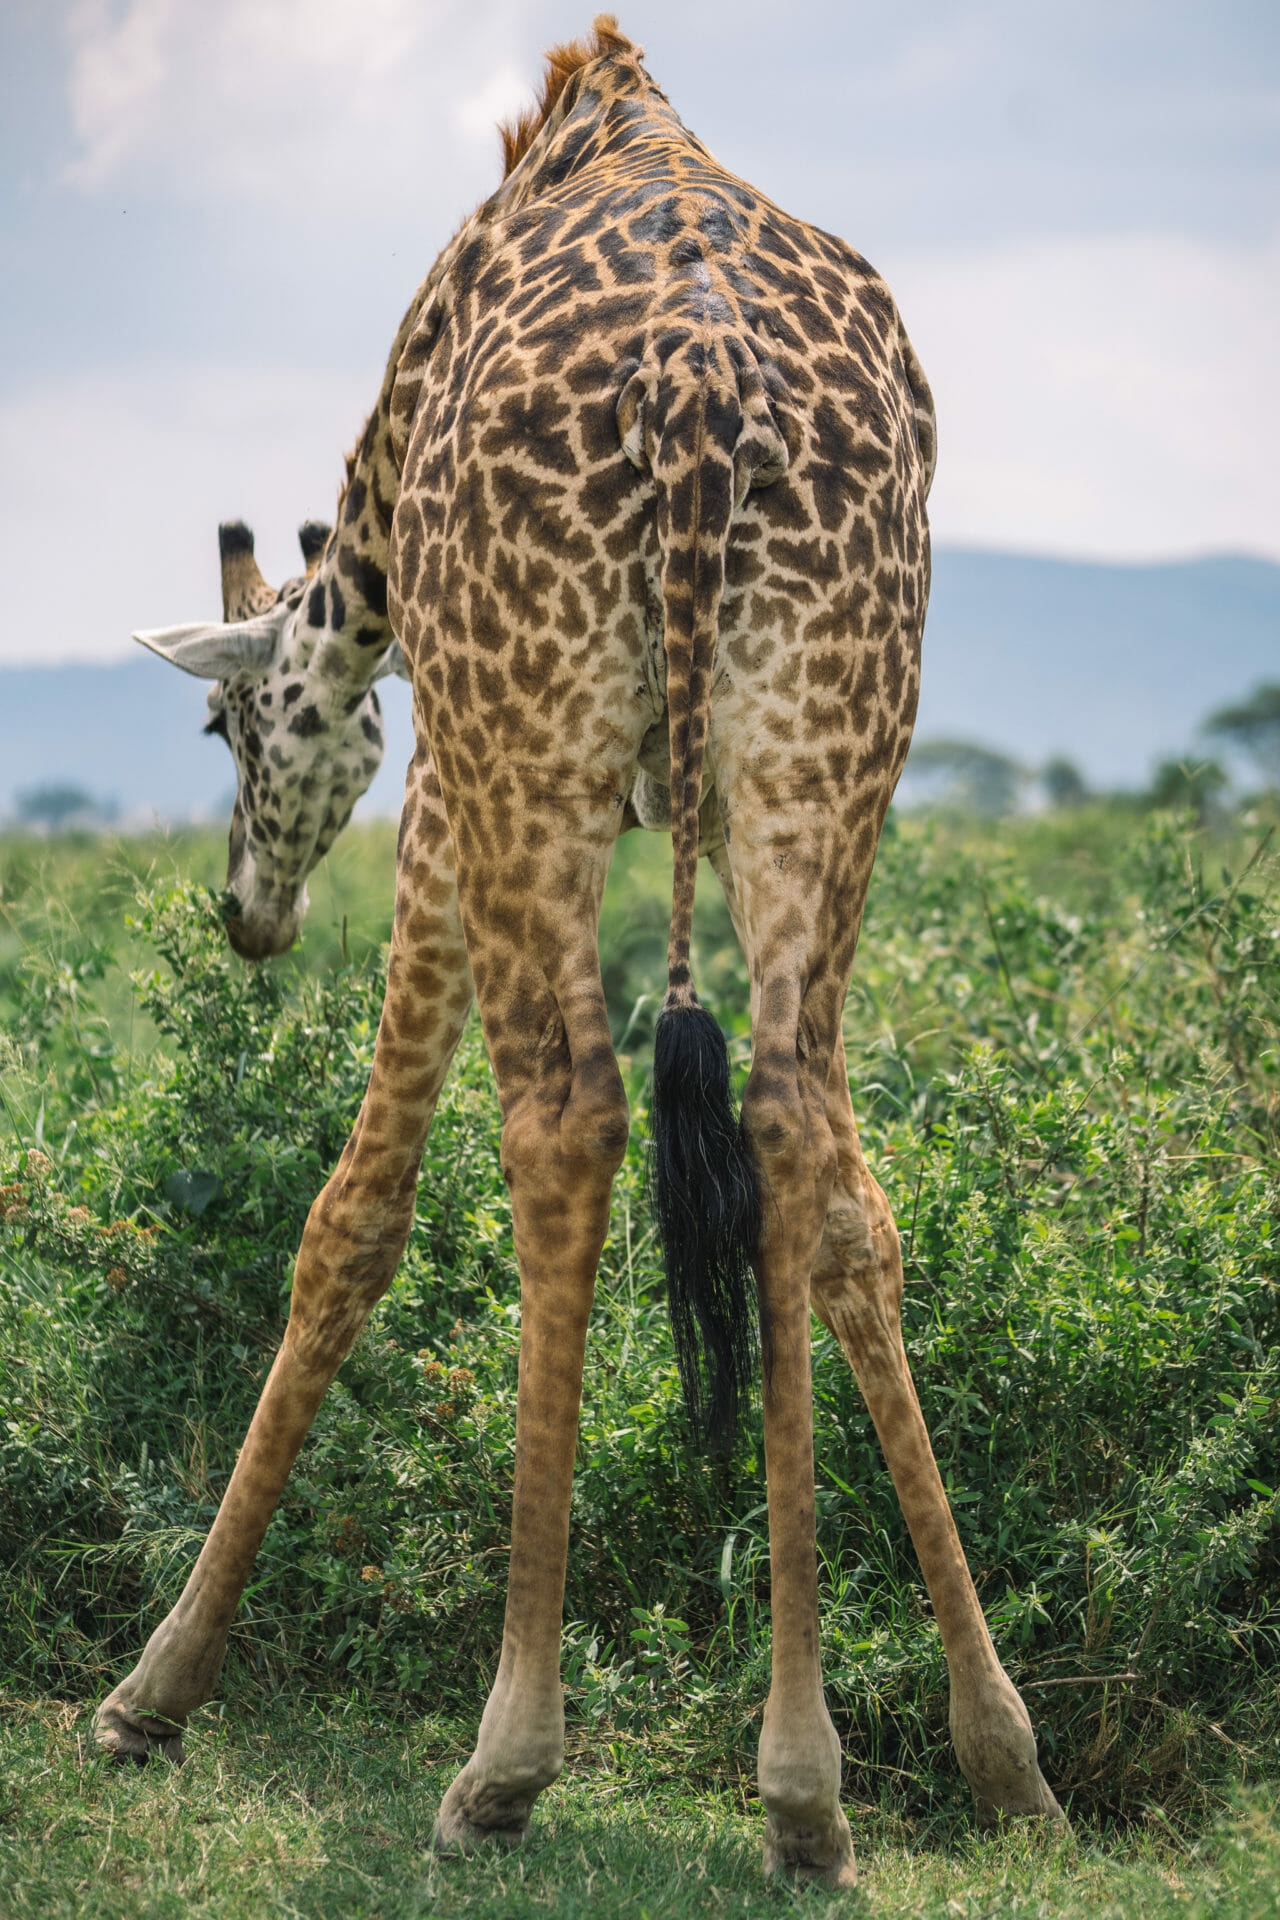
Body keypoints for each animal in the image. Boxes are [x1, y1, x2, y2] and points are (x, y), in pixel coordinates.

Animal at [98, 18, 1062, 1886]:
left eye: (224, 727)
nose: (249, 912)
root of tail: (699, 397)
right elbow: (836, 1216)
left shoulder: (442, 792)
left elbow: (354, 1211)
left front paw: (154, 1687)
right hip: (829, 736)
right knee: (806, 1140)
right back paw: (848, 1783)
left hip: (531, 735)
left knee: (569, 1123)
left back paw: (507, 1759)